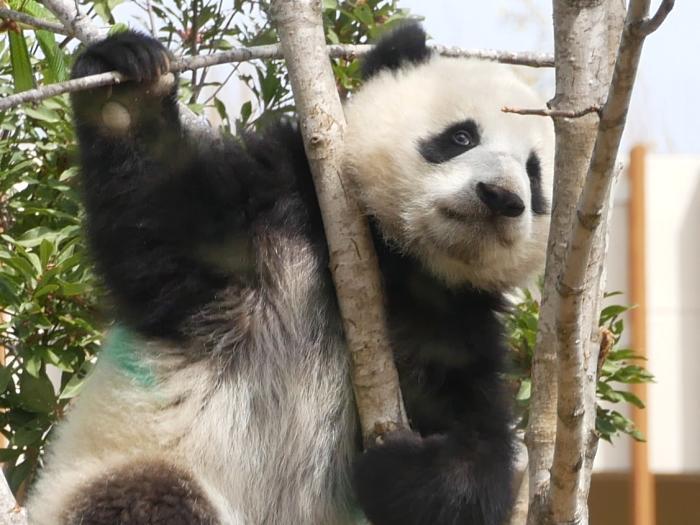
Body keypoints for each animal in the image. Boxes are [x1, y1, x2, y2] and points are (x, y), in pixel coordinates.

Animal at [26, 22, 552, 520]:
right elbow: (163, 227)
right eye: (461, 137)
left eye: (535, 175)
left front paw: (402, 472)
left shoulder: (450, 323)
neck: (395, 257)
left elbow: (476, 438)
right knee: (149, 496)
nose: (501, 198)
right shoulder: (279, 205)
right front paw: (126, 92)